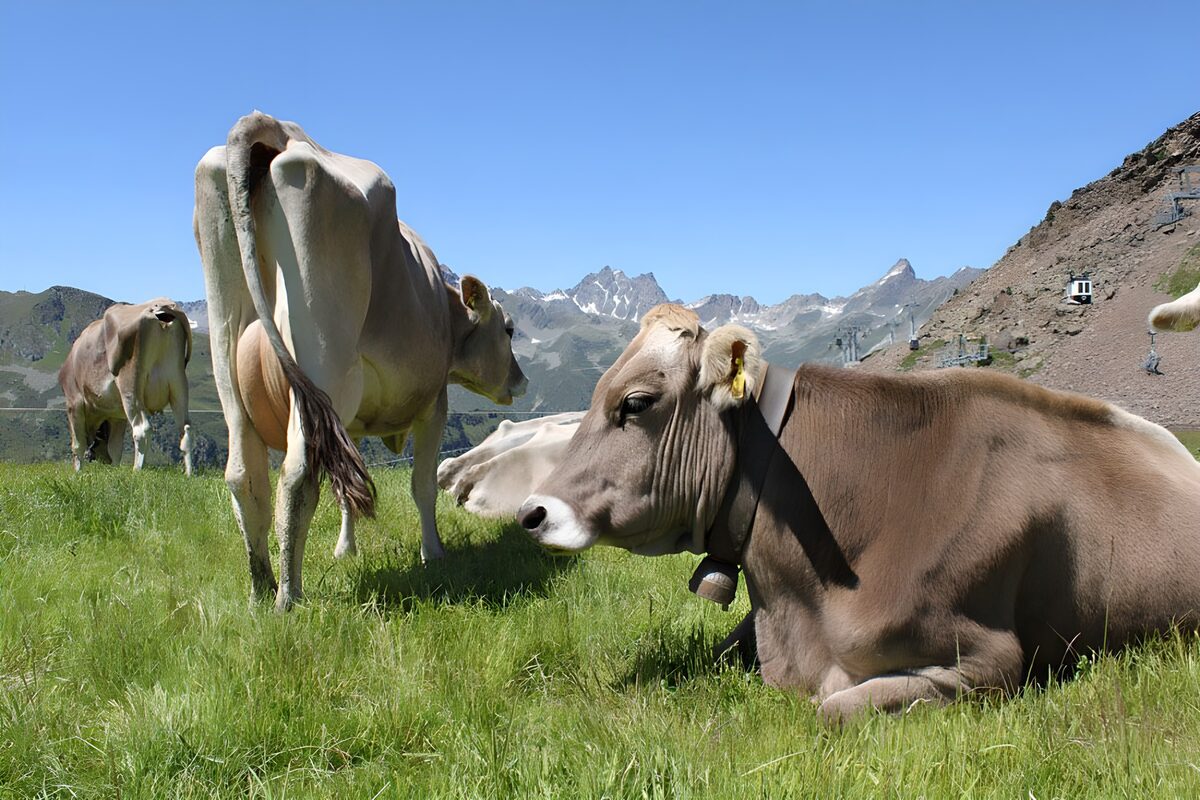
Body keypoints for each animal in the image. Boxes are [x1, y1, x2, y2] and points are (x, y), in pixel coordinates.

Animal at [58, 298, 193, 475]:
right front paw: (114, 470)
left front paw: (78, 472)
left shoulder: (74, 402)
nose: (97, 459)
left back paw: (136, 470)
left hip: (130, 387)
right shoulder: (117, 416)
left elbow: (77, 444)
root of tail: (161, 306)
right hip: (178, 384)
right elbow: (115, 448)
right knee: (185, 429)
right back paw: (189, 473)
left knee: (142, 429)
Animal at [194, 112, 526, 611]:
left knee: (243, 475)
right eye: (508, 329)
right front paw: (434, 554)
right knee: (295, 478)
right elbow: (422, 485)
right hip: (324, 369)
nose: (521, 381)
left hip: (228, 361)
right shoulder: (434, 404)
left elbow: (345, 491)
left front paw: (344, 550)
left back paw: (260, 590)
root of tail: (277, 129)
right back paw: (288, 599)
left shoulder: (346, 425)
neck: (444, 311)